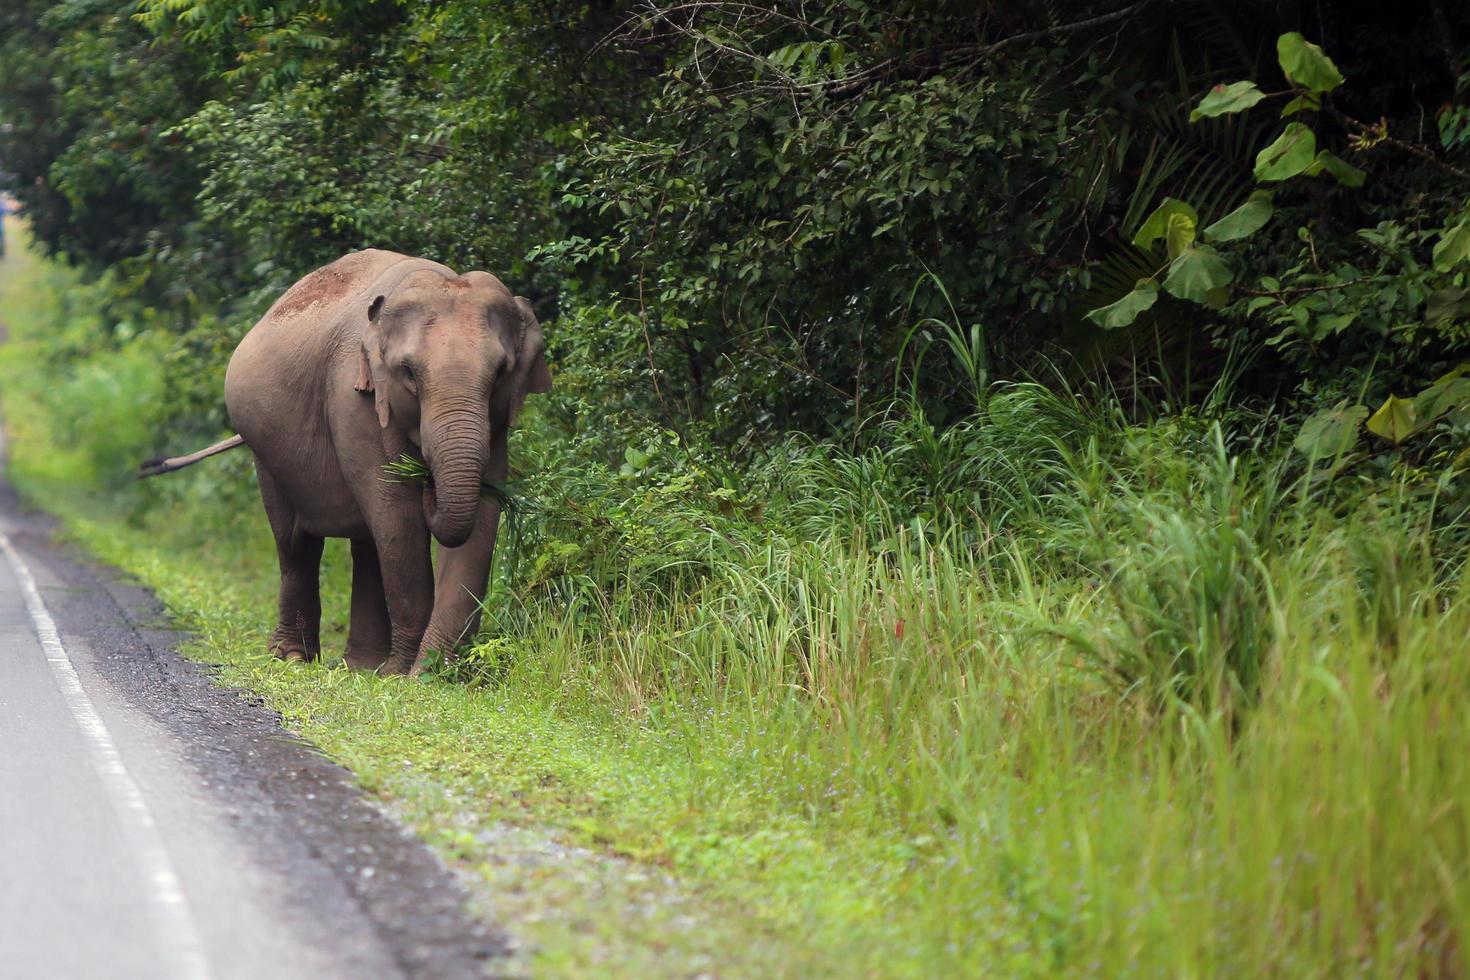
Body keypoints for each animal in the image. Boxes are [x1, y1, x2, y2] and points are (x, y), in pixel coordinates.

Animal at [143, 249, 552, 675]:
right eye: (408, 372)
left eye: (501, 372)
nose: (426, 480)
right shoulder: (351, 399)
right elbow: (398, 517)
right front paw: (403, 673)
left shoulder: (497, 422)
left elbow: (482, 521)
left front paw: (432, 673)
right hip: (263, 449)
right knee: (296, 544)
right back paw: (294, 658)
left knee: (366, 542)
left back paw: (361, 667)